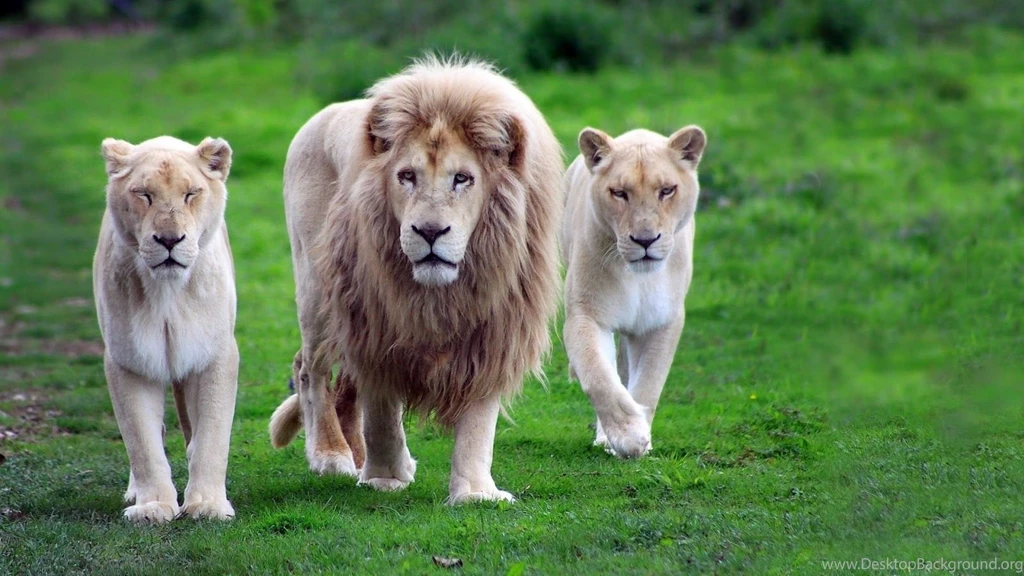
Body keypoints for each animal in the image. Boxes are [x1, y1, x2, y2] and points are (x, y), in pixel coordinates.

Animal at [93, 135, 239, 523]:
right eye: (144, 194)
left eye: (191, 194)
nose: (170, 240)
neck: (167, 292)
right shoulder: (129, 360)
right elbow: (142, 441)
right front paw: (153, 506)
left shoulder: (214, 355)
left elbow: (212, 435)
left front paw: (207, 505)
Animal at [268, 57, 563, 503]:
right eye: (406, 176)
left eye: (462, 178)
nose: (429, 231)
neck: (440, 294)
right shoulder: (375, 325)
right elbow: (382, 412)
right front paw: (385, 478)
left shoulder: (494, 331)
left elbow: (478, 421)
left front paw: (475, 493)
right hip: (318, 290)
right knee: (311, 369)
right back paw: (332, 455)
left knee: (344, 384)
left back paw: (357, 454)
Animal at [561, 125, 706, 458]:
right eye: (619, 193)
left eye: (666, 190)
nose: (645, 240)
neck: (638, 278)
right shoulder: (586, 315)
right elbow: (599, 377)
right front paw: (628, 435)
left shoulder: (662, 322)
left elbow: (649, 383)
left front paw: (641, 437)